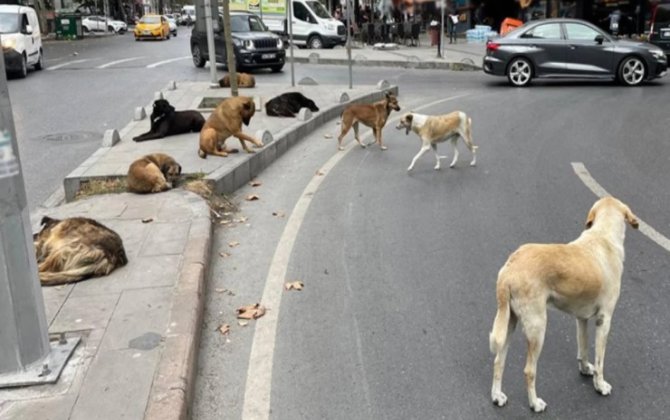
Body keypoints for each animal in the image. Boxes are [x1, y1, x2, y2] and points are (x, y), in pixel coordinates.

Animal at [490, 198, 644, 414]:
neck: (603, 236)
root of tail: (509, 268)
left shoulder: (581, 319)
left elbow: (584, 348)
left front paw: (585, 369)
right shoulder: (604, 320)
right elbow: (600, 360)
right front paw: (600, 385)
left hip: (509, 323)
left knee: (498, 361)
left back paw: (497, 396)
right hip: (537, 328)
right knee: (529, 370)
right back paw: (535, 403)